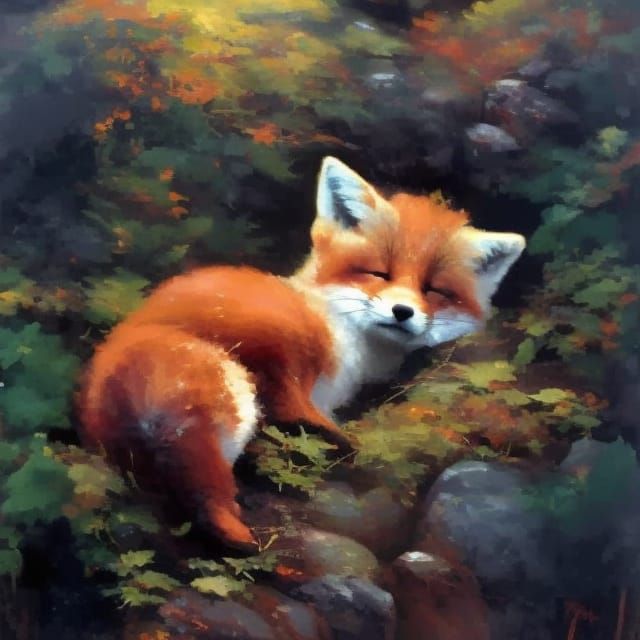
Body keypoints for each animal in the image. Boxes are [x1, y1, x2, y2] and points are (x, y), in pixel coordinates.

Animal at [78, 156, 525, 550]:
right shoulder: (282, 346)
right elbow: (294, 403)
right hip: (235, 391)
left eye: (434, 290)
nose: (402, 311)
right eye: (378, 273)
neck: (342, 336)